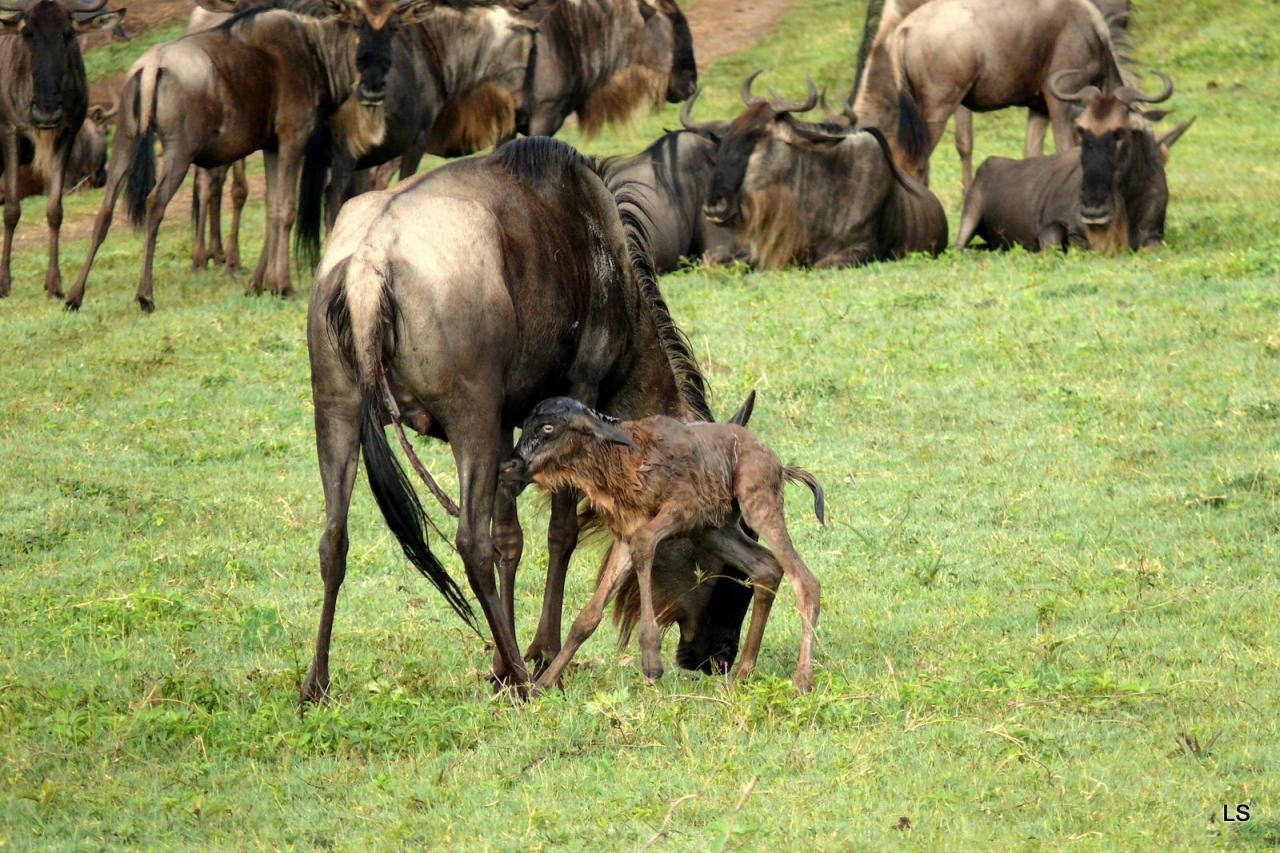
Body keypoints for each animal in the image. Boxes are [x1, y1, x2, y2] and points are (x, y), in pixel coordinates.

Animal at [504, 394, 824, 686]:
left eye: (547, 427)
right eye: (526, 424)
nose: (510, 467)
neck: (622, 458)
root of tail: (777, 463)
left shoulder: (682, 511)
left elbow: (645, 544)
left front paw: (651, 662)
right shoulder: (626, 534)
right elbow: (587, 617)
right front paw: (543, 685)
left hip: (758, 509)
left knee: (806, 580)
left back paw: (802, 681)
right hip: (713, 531)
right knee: (766, 567)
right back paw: (743, 674)